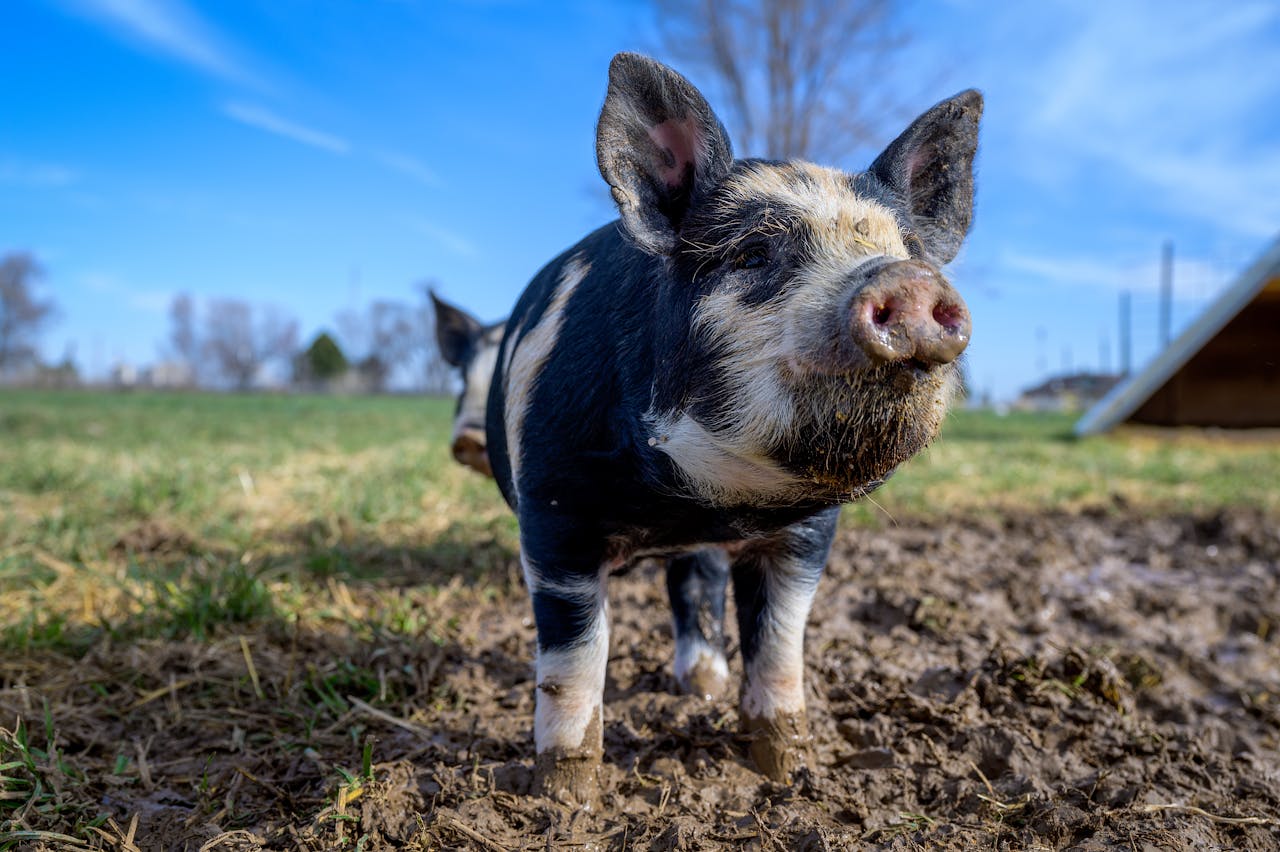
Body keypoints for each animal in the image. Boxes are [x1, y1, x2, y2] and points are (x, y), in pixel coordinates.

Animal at [487, 53, 980, 803]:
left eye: (911, 250)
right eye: (752, 253)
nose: (910, 280)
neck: (698, 499)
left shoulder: (805, 535)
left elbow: (779, 647)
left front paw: (787, 771)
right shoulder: (553, 509)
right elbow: (574, 659)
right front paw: (567, 798)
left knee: (695, 582)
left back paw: (705, 685)